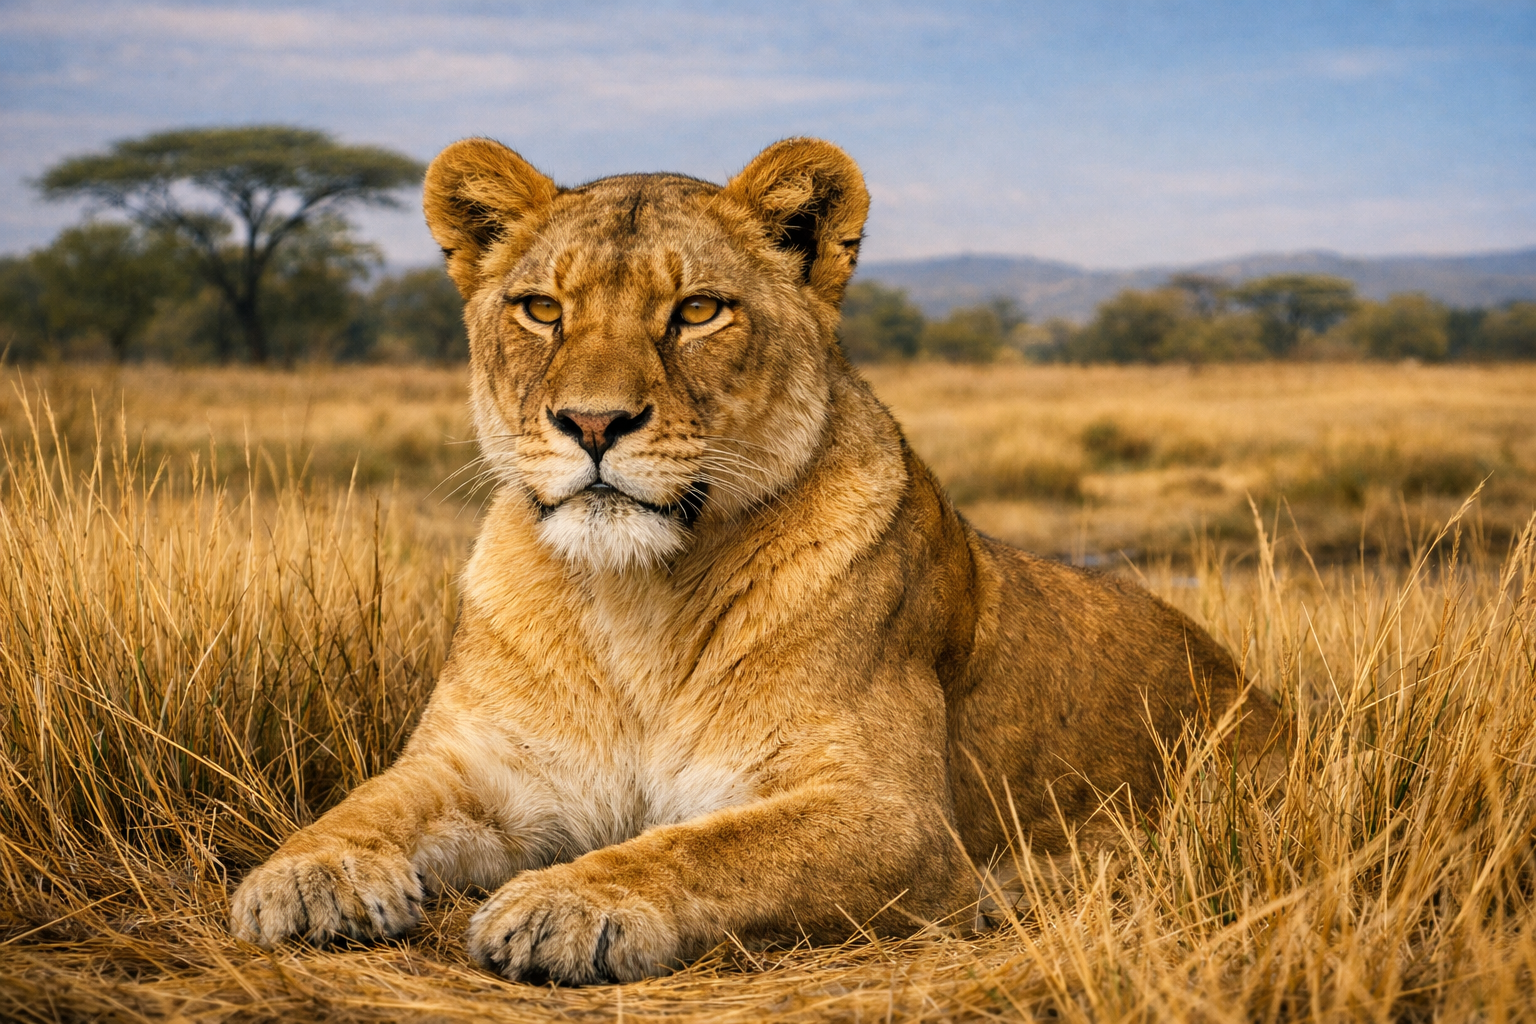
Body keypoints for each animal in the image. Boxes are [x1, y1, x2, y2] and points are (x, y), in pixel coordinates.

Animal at [229, 137, 1285, 984]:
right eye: (540, 309)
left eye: (698, 311)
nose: (593, 424)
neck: (635, 600)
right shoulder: (481, 764)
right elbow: (369, 801)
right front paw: (305, 876)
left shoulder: (898, 819)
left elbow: (706, 849)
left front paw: (569, 904)